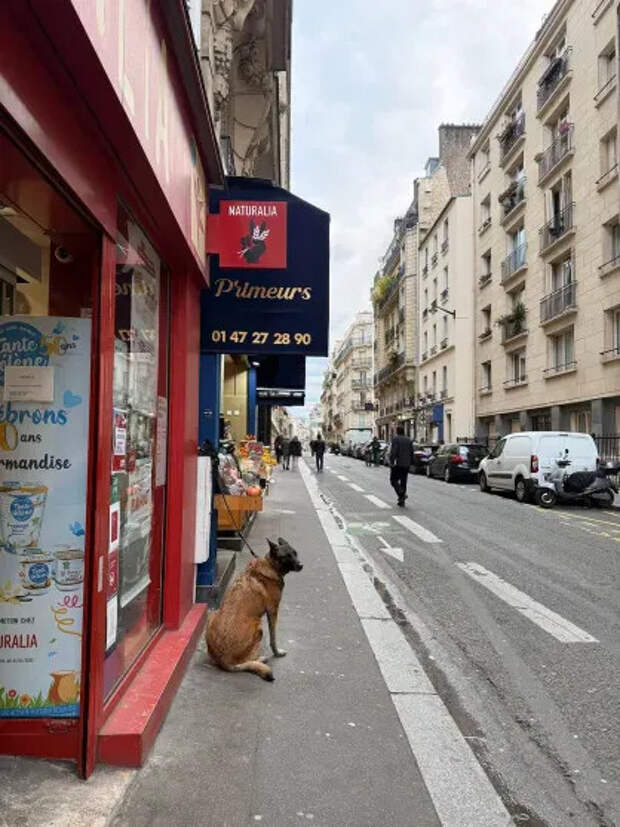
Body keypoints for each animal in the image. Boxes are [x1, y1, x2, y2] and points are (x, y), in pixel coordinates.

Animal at [206, 536, 302, 680]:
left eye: (295, 553)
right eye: (287, 556)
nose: (301, 565)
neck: (270, 565)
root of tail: (223, 660)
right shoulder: (273, 611)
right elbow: (273, 638)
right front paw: (277, 652)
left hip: (213, 614)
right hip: (258, 625)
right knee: (245, 661)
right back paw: (261, 659)